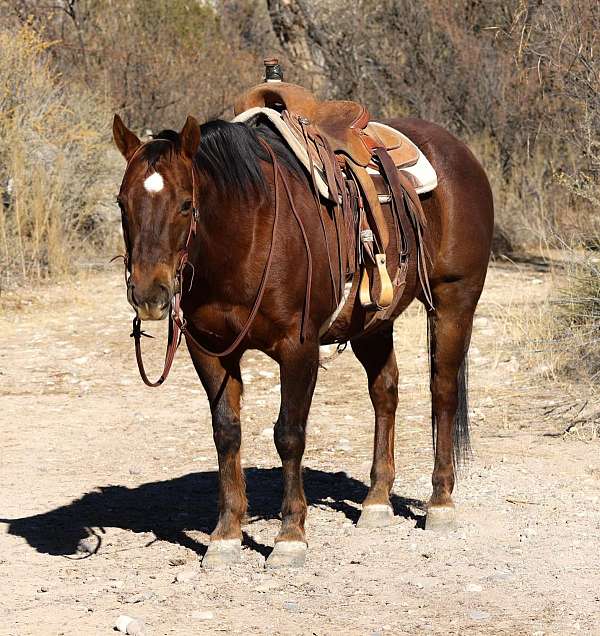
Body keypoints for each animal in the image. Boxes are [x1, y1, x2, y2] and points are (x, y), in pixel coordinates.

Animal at [112, 112, 492, 568]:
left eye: (186, 203)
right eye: (122, 203)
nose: (149, 294)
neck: (246, 234)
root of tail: (460, 152)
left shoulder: (298, 349)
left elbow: (289, 434)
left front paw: (290, 536)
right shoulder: (209, 350)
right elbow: (226, 432)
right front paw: (225, 535)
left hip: (454, 302)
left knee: (443, 393)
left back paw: (440, 503)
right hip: (373, 323)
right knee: (385, 393)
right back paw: (376, 500)